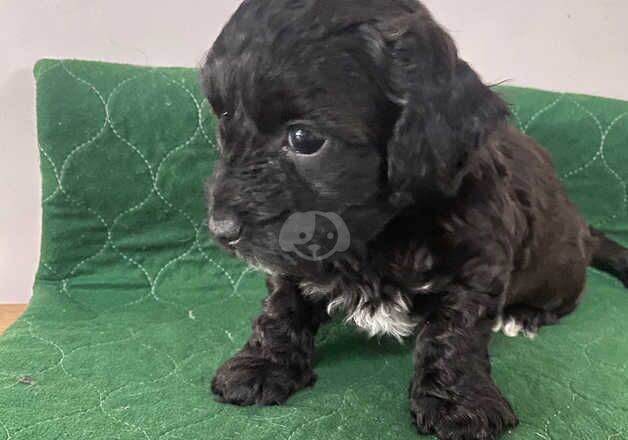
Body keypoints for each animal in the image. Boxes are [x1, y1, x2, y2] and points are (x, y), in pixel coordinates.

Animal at [201, 1, 628, 438]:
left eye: (305, 139)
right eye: (223, 121)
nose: (221, 229)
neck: (373, 238)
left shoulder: (476, 262)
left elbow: (453, 332)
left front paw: (459, 404)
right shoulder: (296, 251)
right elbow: (282, 302)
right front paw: (263, 364)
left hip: (558, 269)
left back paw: (522, 316)